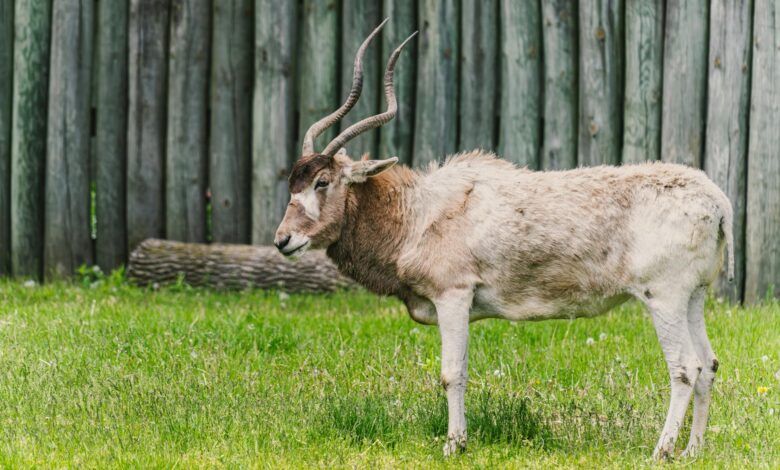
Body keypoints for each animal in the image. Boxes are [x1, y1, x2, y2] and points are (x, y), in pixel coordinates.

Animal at [275, 20, 734, 460]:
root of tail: (717, 202)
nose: (283, 240)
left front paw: (454, 444)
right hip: (693, 298)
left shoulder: (454, 296)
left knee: (685, 368)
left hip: (664, 297)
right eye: (292, 182)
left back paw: (662, 450)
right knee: (708, 363)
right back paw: (693, 450)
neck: (419, 212)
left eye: (322, 181)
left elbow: (452, 374)